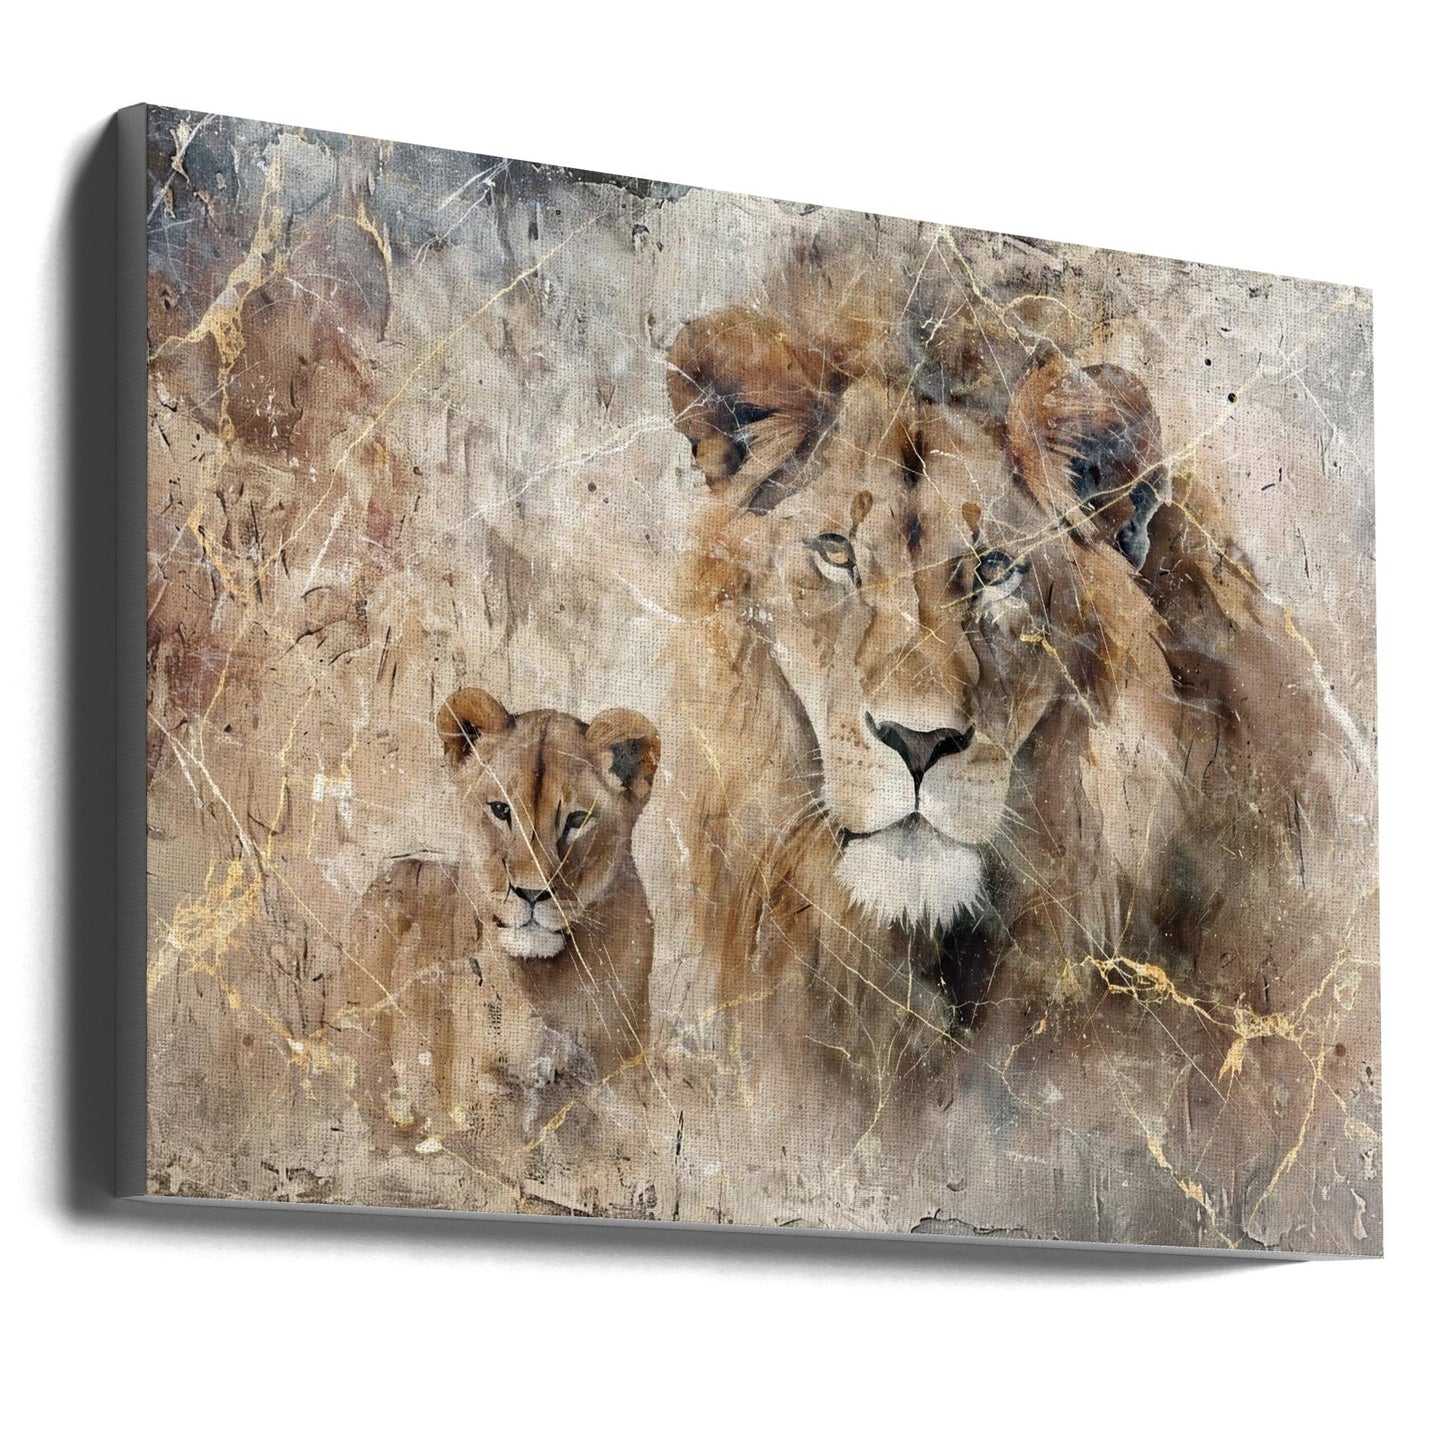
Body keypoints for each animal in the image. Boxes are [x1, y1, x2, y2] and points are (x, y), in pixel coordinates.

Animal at [346, 688, 661, 1150]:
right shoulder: (475, 1091)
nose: (530, 893)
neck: (547, 983)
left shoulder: (618, 1080)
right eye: (500, 810)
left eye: (577, 819)